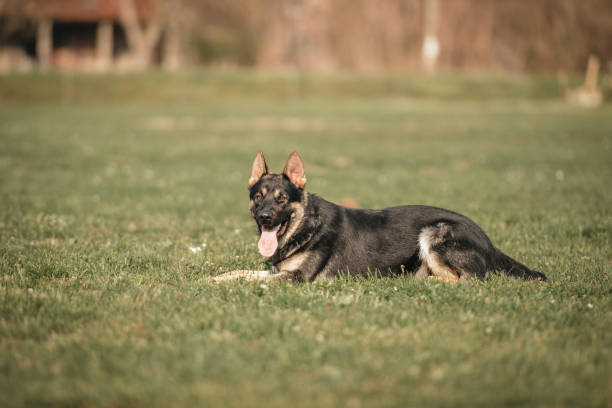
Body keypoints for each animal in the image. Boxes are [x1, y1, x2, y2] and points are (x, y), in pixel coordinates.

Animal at [213, 151, 548, 282]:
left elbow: (250, 280)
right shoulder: (277, 271)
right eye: (258, 197)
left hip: (434, 232)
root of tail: (488, 239)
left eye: (282, 199)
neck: (307, 225)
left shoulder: (296, 279)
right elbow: (240, 272)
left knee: (464, 280)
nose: (266, 217)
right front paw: (214, 278)